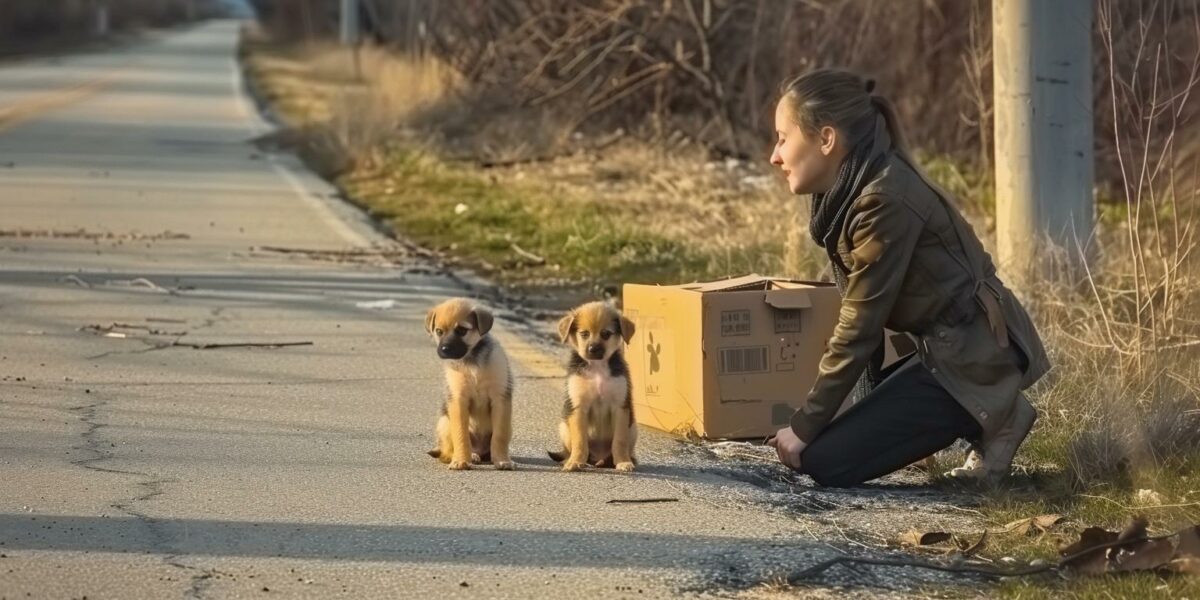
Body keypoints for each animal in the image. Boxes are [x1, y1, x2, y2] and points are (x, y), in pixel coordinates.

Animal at [424, 297, 513, 470]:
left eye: (462, 330)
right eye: (439, 331)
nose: (444, 349)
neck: (472, 360)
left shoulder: (500, 399)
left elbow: (500, 435)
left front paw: (502, 460)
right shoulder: (458, 400)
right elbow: (460, 434)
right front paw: (461, 460)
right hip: (444, 422)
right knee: (446, 451)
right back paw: (469, 455)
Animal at [547, 302, 638, 470]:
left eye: (606, 334)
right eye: (584, 334)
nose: (593, 349)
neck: (598, 368)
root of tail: (598, 457)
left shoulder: (620, 408)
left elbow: (620, 441)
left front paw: (623, 461)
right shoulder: (578, 407)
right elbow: (579, 441)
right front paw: (575, 462)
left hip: (633, 428)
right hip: (563, 426)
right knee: (571, 449)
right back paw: (569, 460)